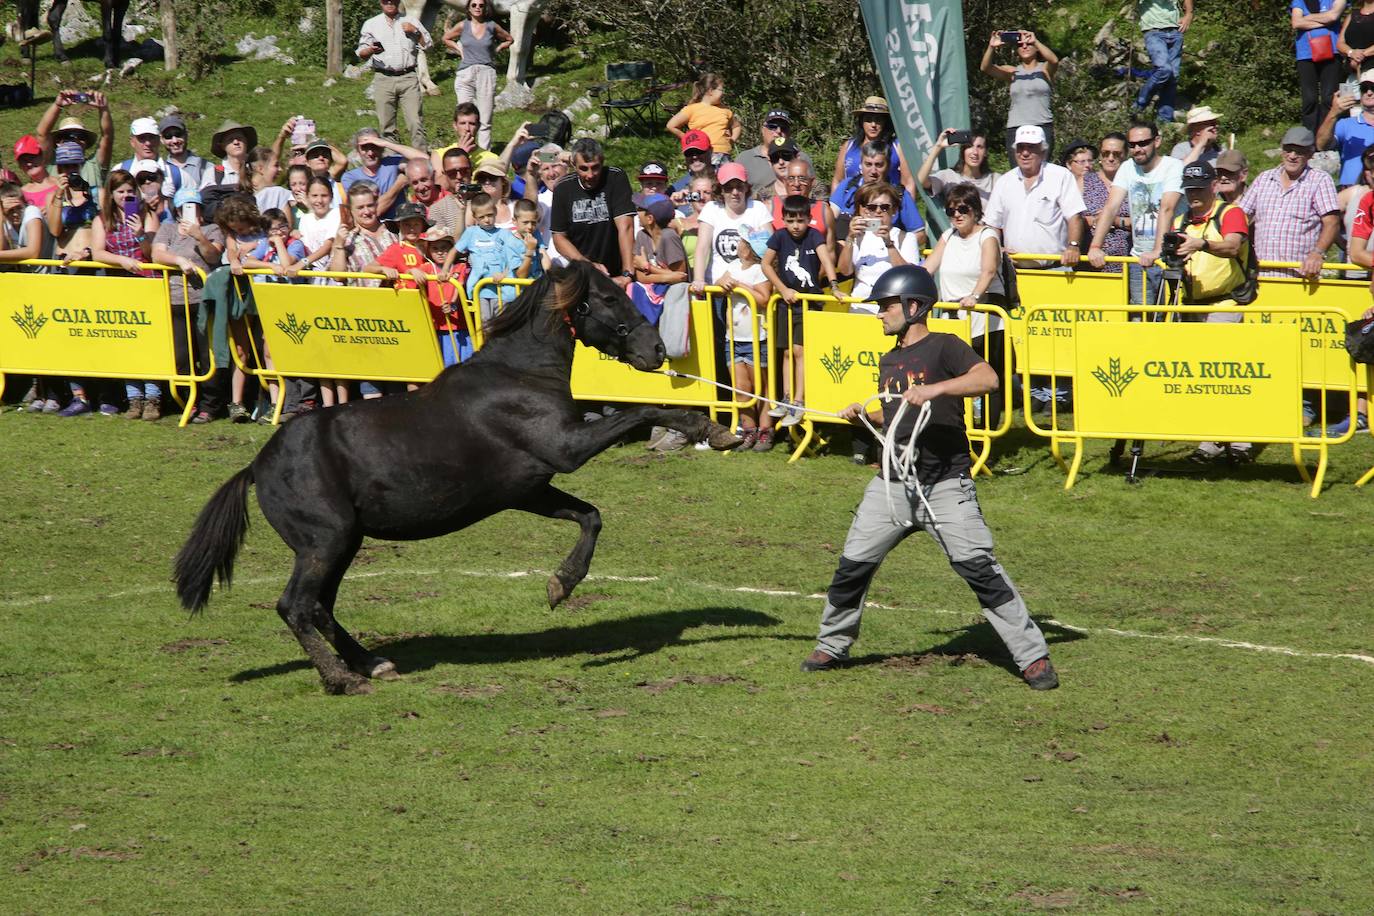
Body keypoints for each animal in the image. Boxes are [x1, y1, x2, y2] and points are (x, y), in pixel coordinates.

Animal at [178, 265, 747, 694]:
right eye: (608, 297)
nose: (658, 351)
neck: (518, 378)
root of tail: (258, 466)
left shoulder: (530, 489)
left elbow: (590, 517)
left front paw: (560, 585)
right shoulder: (566, 450)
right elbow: (643, 411)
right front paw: (713, 429)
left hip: (342, 543)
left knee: (320, 606)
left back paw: (374, 664)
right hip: (324, 541)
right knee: (295, 606)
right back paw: (344, 679)